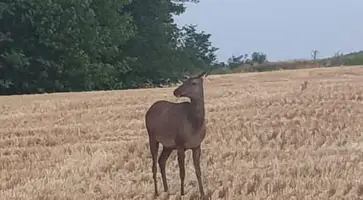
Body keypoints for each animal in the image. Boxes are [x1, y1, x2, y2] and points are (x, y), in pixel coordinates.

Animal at [144, 71, 209, 199]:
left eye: (193, 82)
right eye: (184, 81)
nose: (175, 91)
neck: (195, 125)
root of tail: (149, 110)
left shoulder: (197, 145)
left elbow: (198, 171)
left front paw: (203, 194)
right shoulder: (179, 144)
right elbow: (182, 172)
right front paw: (183, 193)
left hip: (168, 145)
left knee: (161, 161)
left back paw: (166, 189)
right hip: (152, 136)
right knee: (154, 165)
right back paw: (156, 193)